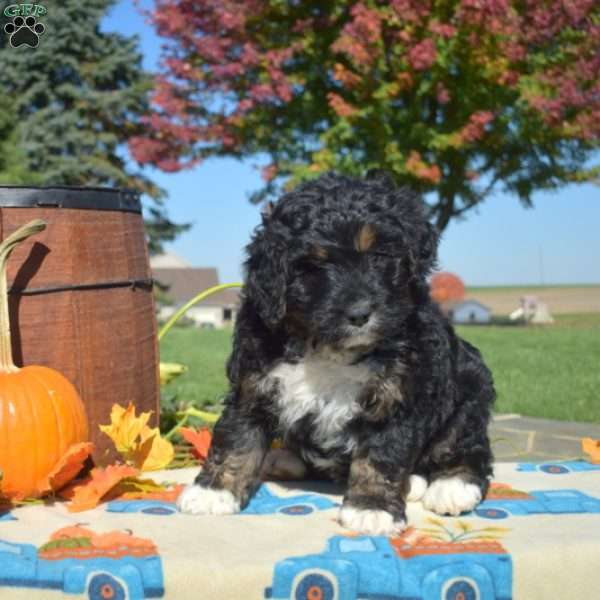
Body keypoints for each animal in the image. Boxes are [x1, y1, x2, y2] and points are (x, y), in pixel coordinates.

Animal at [177, 172, 492, 536]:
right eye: (314, 266)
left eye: (380, 256)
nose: (359, 314)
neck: (325, 344)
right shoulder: (252, 382)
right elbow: (236, 438)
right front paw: (213, 491)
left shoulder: (398, 395)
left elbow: (381, 453)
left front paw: (371, 507)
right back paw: (284, 458)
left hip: (469, 389)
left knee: (467, 446)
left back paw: (451, 486)